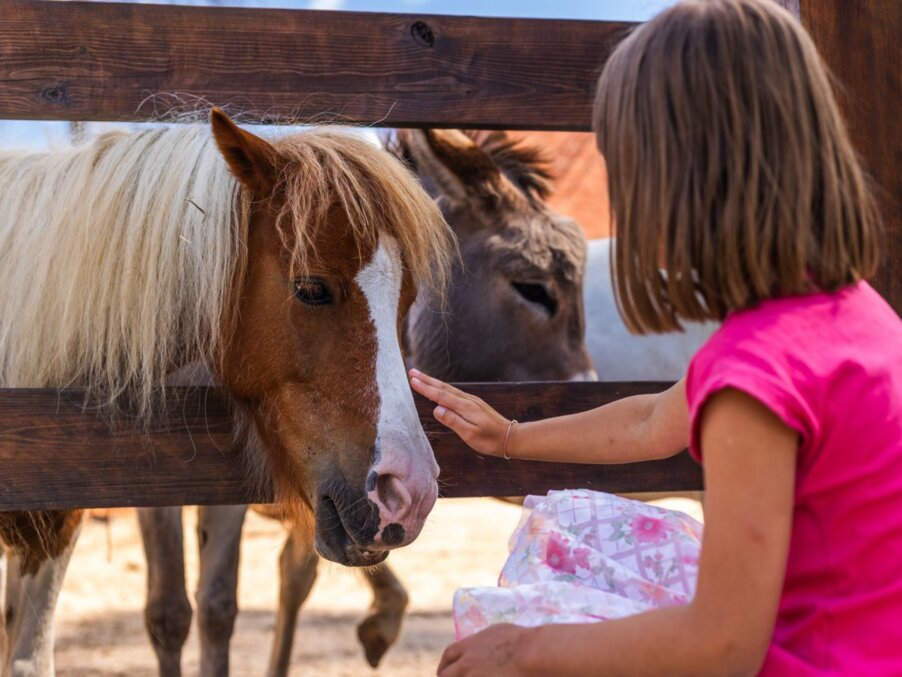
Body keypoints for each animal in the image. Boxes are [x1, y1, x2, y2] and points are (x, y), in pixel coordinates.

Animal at [137, 126, 594, 676]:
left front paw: (379, 622)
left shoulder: (302, 475)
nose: (409, 492)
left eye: (411, 297)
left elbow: (237, 597)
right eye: (534, 288)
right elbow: (172, 612)